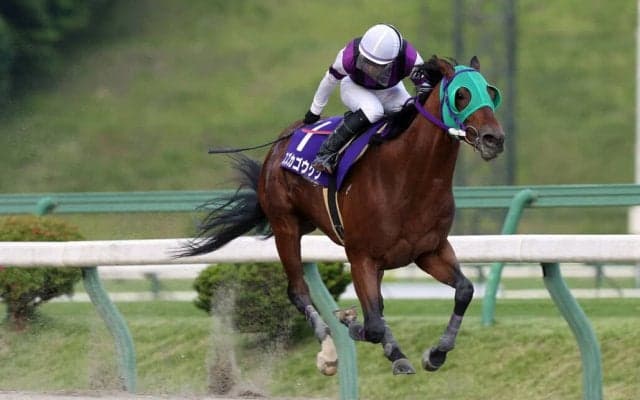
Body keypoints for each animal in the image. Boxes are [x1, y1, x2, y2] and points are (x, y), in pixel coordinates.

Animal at [181, 55, 504, 375]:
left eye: (491, 92)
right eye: (462, 95)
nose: (494, 139)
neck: (407, 177)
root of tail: (280, 143)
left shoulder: (429, 250)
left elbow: (464, 290)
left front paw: (436, 353)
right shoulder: (361, 256)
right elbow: (372, 325)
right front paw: (351, 324)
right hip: (285, 226)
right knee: (298, 291)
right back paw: (328, 351)